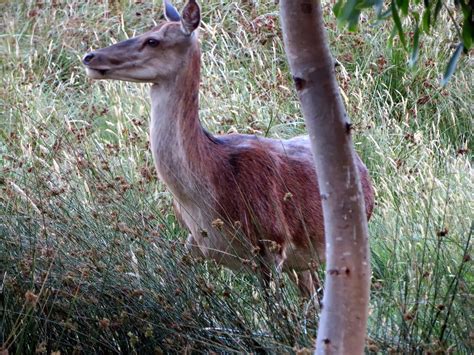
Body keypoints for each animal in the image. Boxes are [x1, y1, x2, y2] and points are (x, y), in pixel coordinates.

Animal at [83, 0, 376, 302]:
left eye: (153, 40)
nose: (90, 57)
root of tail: (364, 171)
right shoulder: (193, 245)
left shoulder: (272, 243)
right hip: (302, 261)